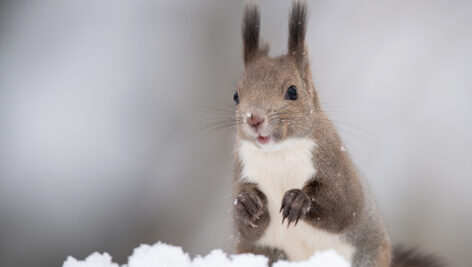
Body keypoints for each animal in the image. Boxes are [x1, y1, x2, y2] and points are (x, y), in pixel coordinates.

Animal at [231, 1, 442, 266]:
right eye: (236, 96)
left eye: (292, 92)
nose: (254, 118)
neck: (278, 154)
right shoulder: (242, 173)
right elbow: (247, 229)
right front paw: (246, 203)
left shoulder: (337, 168)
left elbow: (342, 206)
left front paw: (299, 200)